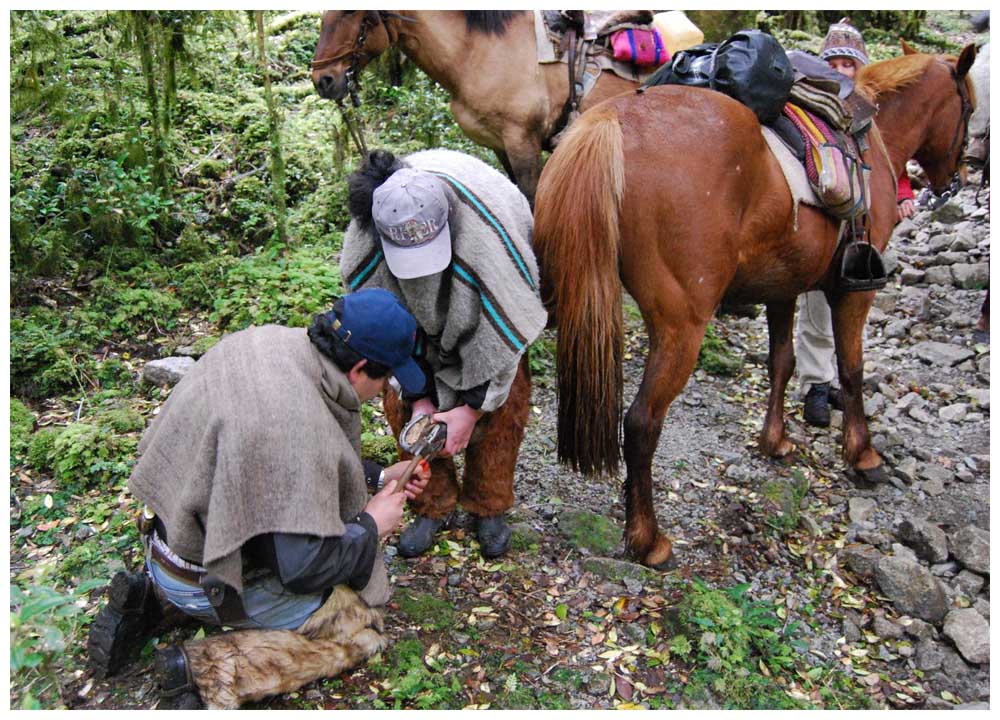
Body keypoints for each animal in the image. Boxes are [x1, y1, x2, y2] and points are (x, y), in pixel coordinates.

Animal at [536, 47, 972, 572]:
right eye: (970, 107)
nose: (961, 177)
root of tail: (607, 123)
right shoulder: (853, 291)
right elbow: (851, 369)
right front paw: (863, 455)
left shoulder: (784, 288)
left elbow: (781, 362)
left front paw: (775, 441)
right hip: (682, 327)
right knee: (641, 423)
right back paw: (648, 540)